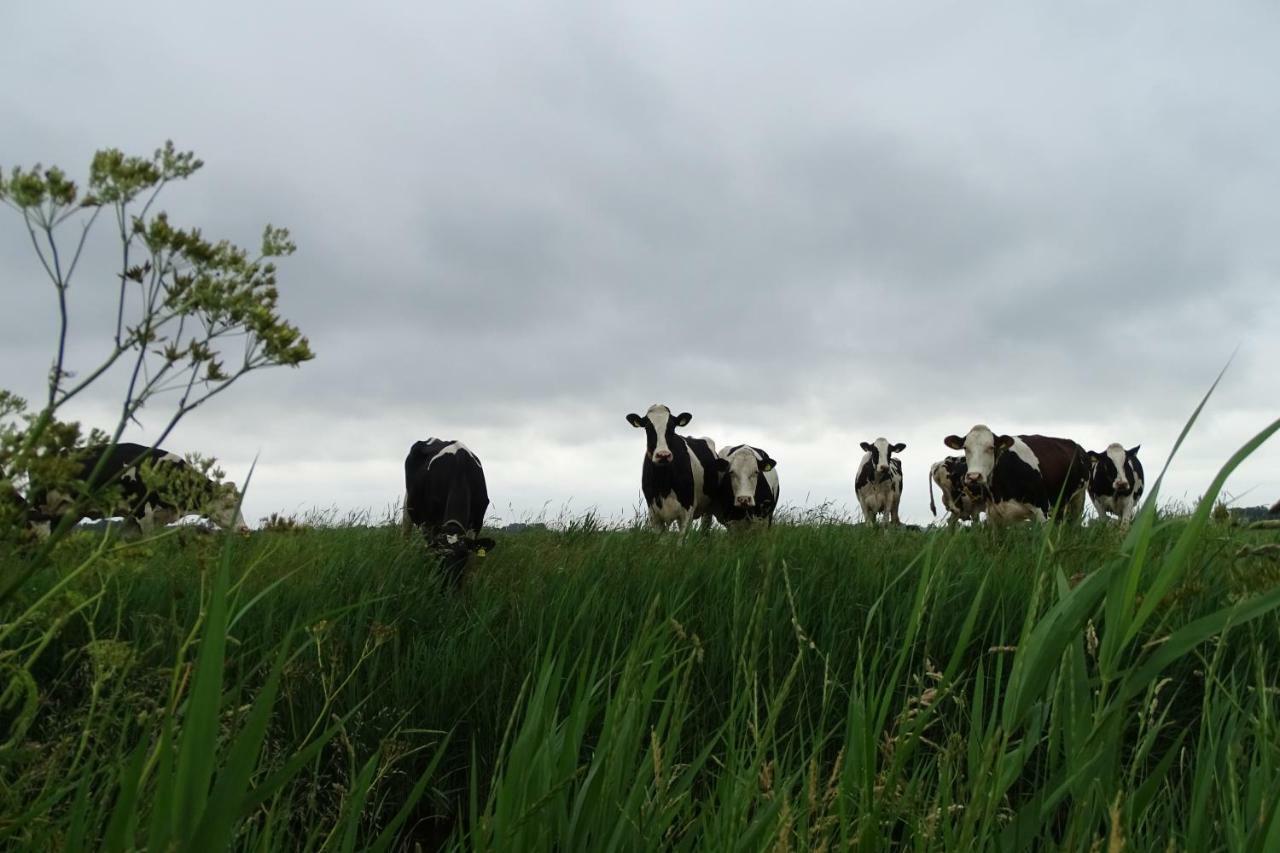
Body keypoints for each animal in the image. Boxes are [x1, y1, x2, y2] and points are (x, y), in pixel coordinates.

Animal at [27, 440, 245, 535]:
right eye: (230, 505)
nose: (244, 529)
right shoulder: (143, 513)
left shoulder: (137, 518)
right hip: (40, 508)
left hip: (66, 513)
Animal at [404, 435, 494, 581]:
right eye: (441, 556)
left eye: (463, 556)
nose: (449, 582)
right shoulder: (431, 524)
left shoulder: (477, 523)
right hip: (408, 506)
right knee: (405, 533)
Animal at [942, 425, 1090, 525]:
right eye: (966, 448)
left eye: (991, 447)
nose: (974, 476)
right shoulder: (994, 516)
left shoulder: (1041, 508)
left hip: (1078, 499)